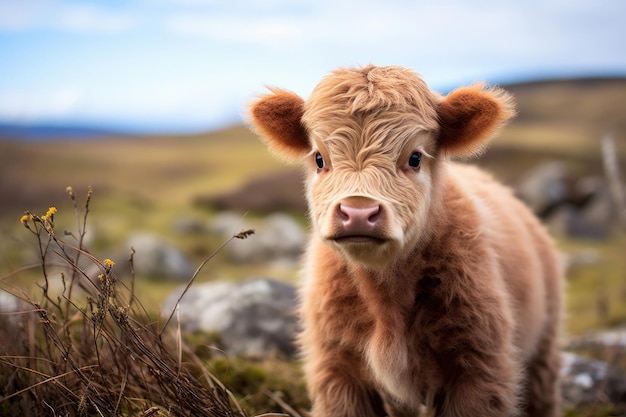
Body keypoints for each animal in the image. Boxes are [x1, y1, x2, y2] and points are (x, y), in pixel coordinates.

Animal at [247, 65, 560, 416]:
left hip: (544, 347)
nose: (358, 211)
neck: (385, 299)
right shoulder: (336, 369)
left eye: (415, 158)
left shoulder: (480, 366)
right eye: (318, 158)